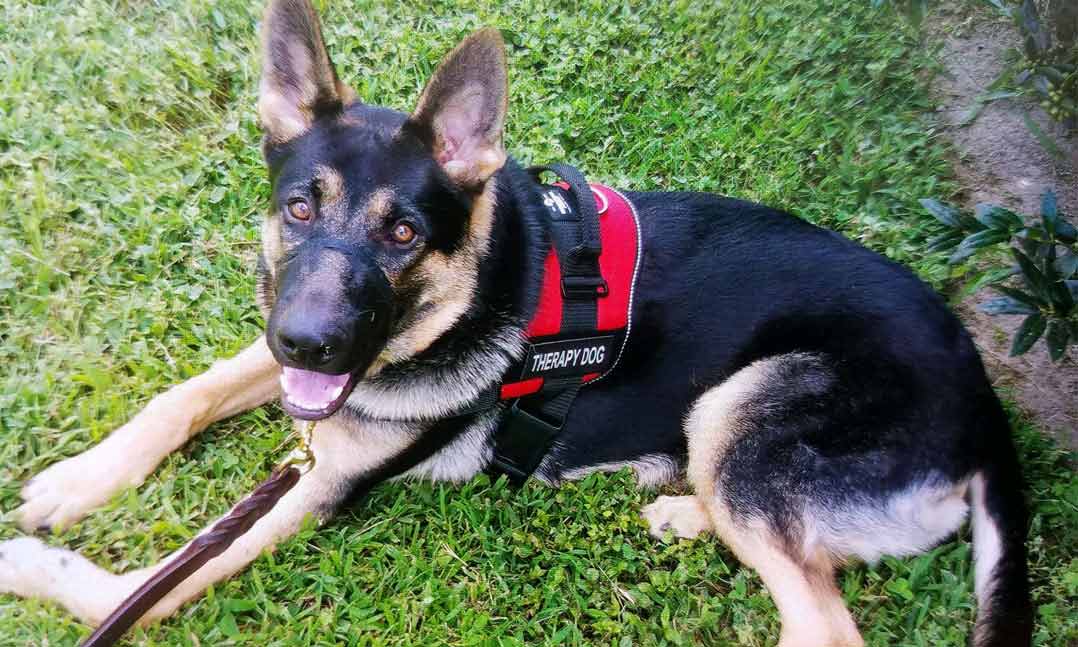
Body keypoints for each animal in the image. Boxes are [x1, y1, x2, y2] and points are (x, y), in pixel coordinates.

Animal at [4, 2, 1039, 642]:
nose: (306, 342)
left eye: (405, 232)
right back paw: (682, 508)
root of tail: (988, 407)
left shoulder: (318, 483)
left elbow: (149, 587)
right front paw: (76, 481)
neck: (474, 288)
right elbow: (185, 394)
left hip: (749, 399)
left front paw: (33, 569)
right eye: (299, 207)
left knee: (820, 618)